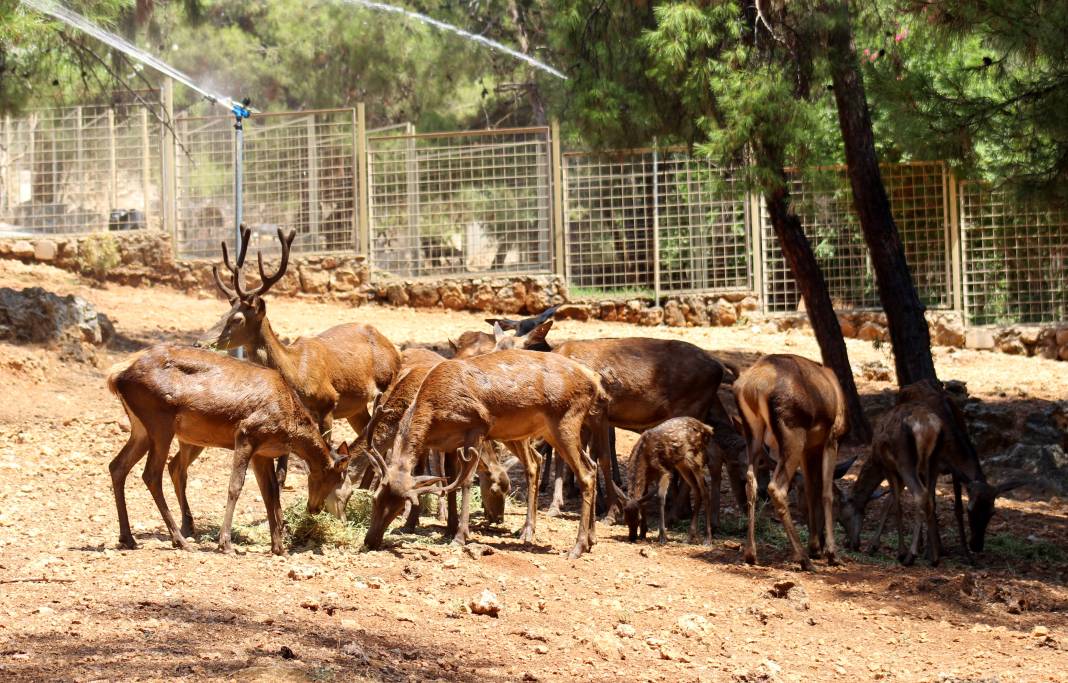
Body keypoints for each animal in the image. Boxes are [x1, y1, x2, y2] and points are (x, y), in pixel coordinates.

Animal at [104, 345, 348, 554]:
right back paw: (180, 540)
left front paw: (278, 547)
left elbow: (270, 492)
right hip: (160, 422)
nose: (315, 509)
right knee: (152, 474)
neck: (292, 427)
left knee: (117, 466)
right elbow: (235, 487)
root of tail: (115, 376)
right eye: (335, 480)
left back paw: (128, 538)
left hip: (141, 428)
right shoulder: (247, 433)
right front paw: (225, 543)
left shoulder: (263, 453)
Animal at [196, 224, 401, 495]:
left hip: (386, 387)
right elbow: (282, 469)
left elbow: (327, 450)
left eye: (237, 319)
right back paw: (366, 486)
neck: (296, 373)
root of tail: (395, 349)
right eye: (223, 313)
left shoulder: (328, 403)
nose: (200, 343)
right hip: (356, 408)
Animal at [360, 350, 610, 559]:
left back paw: (576, 548)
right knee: (589, 464)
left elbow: (466, 481)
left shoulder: (477, 427)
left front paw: (460, 536)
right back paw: (589, 540)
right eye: (375, 498)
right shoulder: (448, 444)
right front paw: (449, 529)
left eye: (400, 507)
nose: (370, 541)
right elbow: (450, 480)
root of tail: (594, 380)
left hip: (565, 421)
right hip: (549, 429)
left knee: (585, 473)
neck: (434, 408)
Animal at [619, 416, 717, 544]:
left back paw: (708, 539)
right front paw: (643, 534)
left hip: (696, 458)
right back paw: (689, 538)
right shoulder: (648, 478)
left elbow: (661, 497)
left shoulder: (664, 471)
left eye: (638, 519)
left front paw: (662, 537)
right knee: (696, 490)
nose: (632, 538)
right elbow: (644, 501)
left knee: (705, 491)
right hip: (681, 464)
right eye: (625, 520)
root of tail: (707, 428)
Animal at [730, 354, 845, 567]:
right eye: (842, 503)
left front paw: (816, 547)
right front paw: (832, 554)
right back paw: (803, 559)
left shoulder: (809, 448)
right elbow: (826, 492)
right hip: (793, 433)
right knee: (776, 488)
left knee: (751, 481)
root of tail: (754, 387)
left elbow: (811, 490)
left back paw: (751, 553)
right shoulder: (832, 438)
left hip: (754, 433)